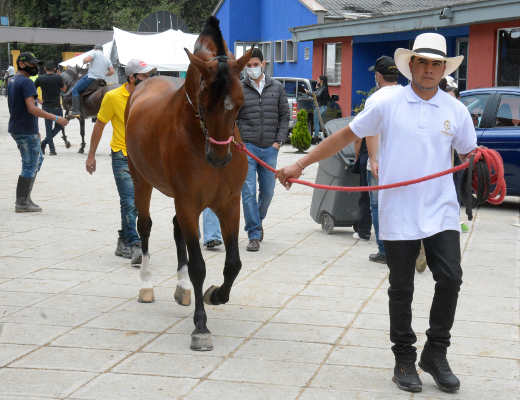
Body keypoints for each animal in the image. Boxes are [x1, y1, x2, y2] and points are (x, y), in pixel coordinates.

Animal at [125, 17, 253, 352]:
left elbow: (233, 264)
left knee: (176, 229)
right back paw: (146, 285)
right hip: (141, 180)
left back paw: (182, 288)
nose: (219, 157)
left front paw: (216, 295)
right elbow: (198, 266)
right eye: (204, 104)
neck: (195, 133)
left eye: (240, 104)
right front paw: (201, 327)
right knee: (145, 226)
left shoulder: (228, 204)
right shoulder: (188, 202)